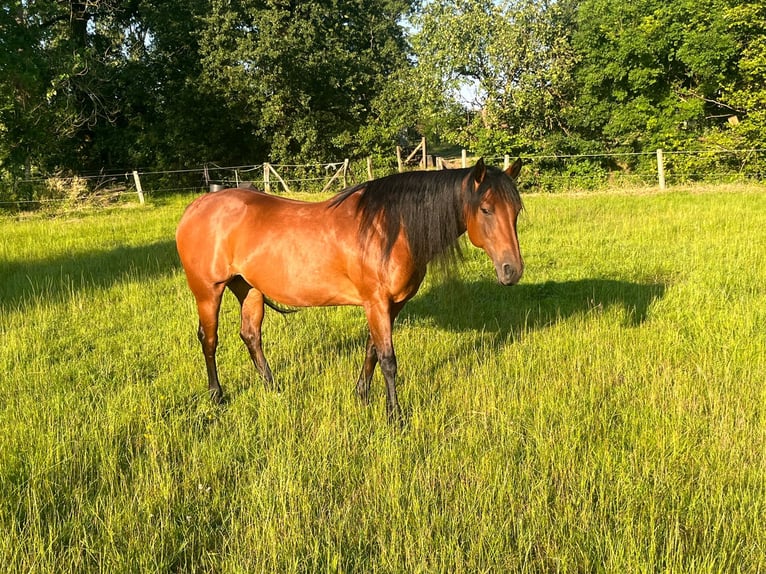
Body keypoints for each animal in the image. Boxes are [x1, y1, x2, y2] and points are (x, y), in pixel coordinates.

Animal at [176, 158, 524, 424]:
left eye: (516, 211)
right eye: (486, 209)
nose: (512, 270)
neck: (391, 229)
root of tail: (196, 207)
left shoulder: (390, 305)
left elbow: (372, 351)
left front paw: (362, 396)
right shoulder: (376, 302)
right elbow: (388, 359)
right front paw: (395, 417)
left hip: (249, 288)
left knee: (250, 335)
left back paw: (273, 389)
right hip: (208, 291)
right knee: (209, 340)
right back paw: (217, 395)